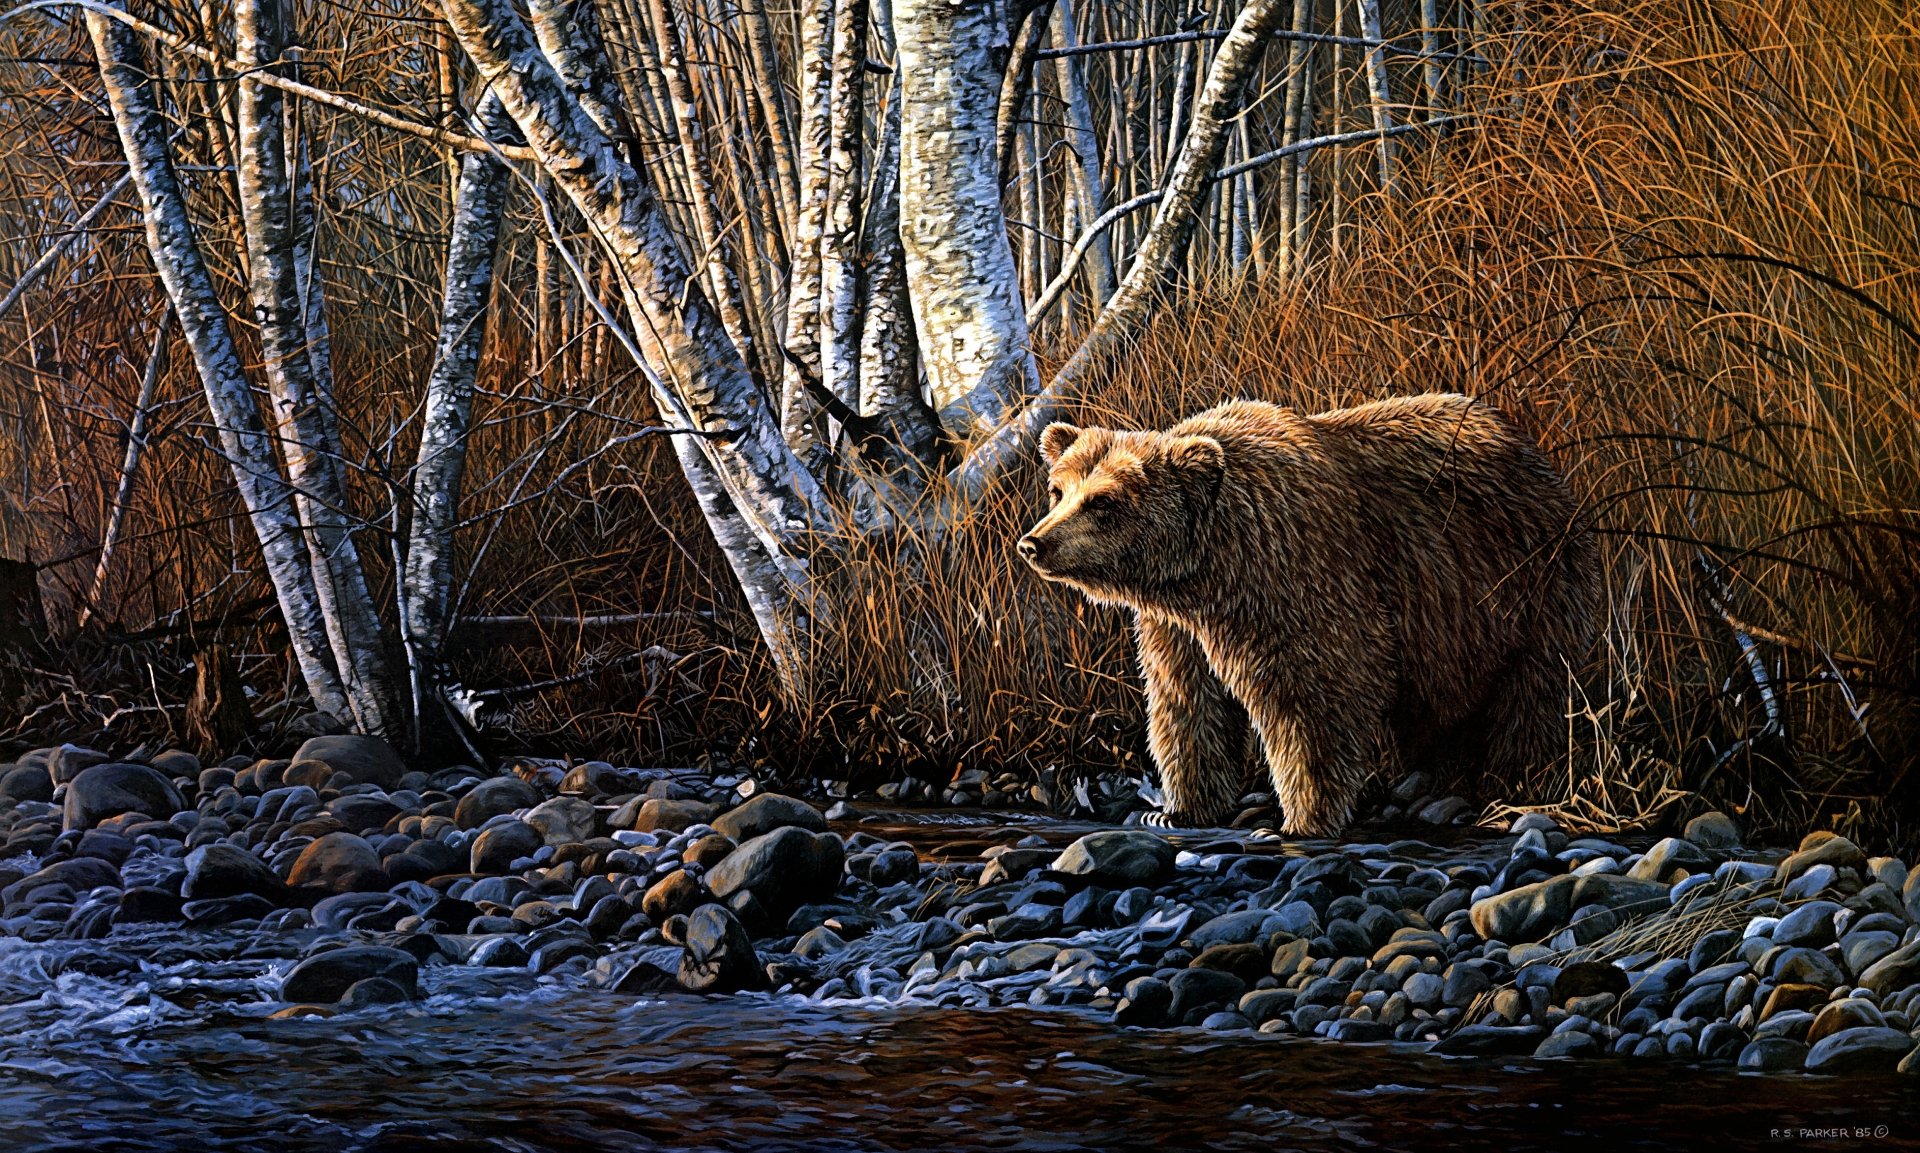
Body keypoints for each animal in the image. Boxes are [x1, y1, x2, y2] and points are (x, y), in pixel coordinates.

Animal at [1017, 393, 1600, 836]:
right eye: (1058, 490)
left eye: (1104, 502)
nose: (1034, 543)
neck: (1208, 571)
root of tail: (1539, 460)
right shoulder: (1178, 627)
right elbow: (1186, 705)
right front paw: (1176, 809)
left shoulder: (1304, 579)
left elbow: (1318, 695)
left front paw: (1301, 819)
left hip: (1523, 585)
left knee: (1533, 697)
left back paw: (1515, 781)